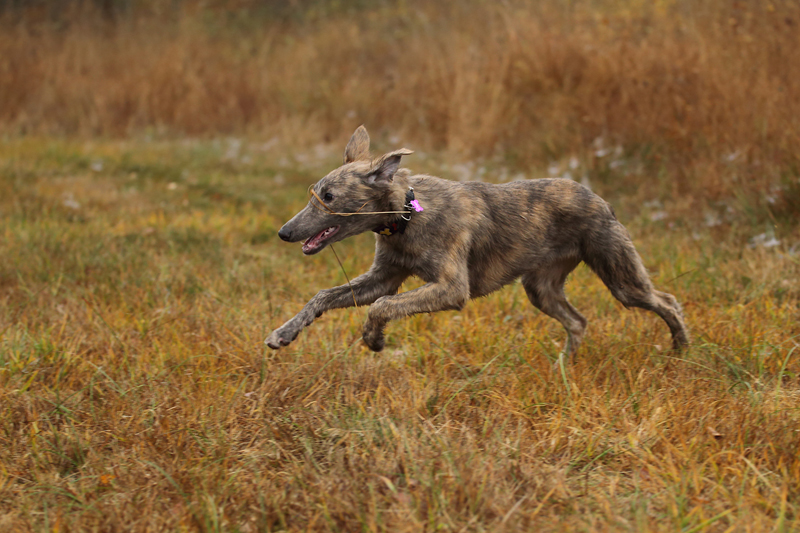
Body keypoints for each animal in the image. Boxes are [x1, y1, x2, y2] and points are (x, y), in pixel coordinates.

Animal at [266, 127, 692, 356]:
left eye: (329, 196)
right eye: (314, 193)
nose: (284, 233)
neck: (407, 216)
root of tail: (599, 197)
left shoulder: (452, 288)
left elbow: (383, 306)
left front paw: (374, 339)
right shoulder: (383, 277)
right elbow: (323, 296)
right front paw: (283, 333)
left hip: (620, 275)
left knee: (668, 302)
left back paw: (681, 349)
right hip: (542, 288)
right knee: (578, 321)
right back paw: (564, 365)